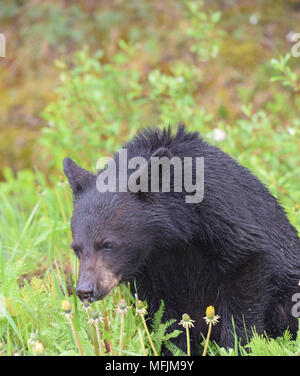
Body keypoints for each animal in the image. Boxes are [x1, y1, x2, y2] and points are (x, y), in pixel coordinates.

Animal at [63, 125, 300, 354]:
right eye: (76, 248)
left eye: (108, 244)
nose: (85, 290)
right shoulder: (149, 274)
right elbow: (163, 318)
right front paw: (174, 349)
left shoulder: (225, 217)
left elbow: (247, 274)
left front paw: (237, 344)